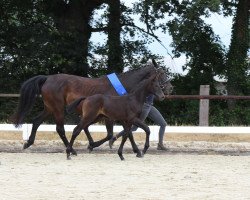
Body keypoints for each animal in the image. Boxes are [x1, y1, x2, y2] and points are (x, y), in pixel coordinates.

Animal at [11, 58, 172, 154]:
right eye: (161, 74)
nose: (170, 88)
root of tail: (47, 78)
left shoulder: (116, 115)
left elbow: (123, 132)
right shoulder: (109, 116)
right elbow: (109, 134)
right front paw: (92, 145)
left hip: (49, 108)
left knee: (36, 121)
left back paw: (28, 143)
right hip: (58, 108)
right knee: (60, 128)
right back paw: (71, 150)